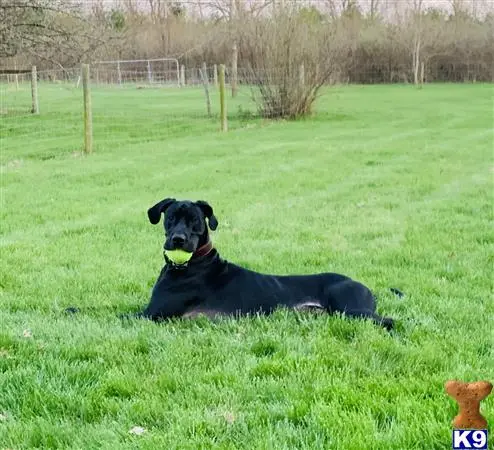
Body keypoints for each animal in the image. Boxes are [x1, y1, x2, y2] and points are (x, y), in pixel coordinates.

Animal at [140, 197, 402, 330]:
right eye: (171, 217)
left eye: (194, 220)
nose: (178, 240)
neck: (195, 263)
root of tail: (365, 286)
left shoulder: (153, 314)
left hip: (351, 309)